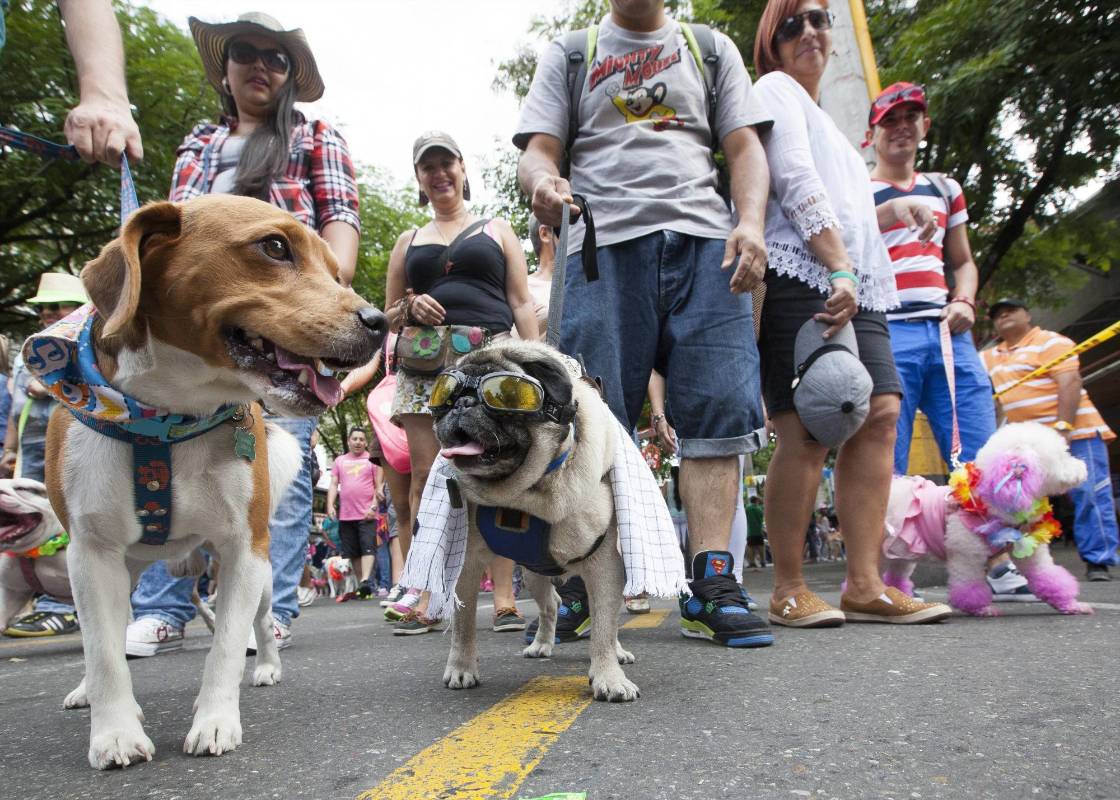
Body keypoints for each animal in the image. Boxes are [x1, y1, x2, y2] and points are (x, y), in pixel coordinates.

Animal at [27, 192, 385, 766]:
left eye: (336, 271)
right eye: (275, 247)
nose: (379, 321)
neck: (168, 420)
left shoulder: (245, 550)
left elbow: (224, 650)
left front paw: (216, 721)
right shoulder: (91, 554)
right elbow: (103, 653)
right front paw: (114, 730)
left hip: (259, 575)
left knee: (259, 624)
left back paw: (266, 665)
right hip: (125, 569)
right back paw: (87, 689)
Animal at [427, 340, 640, 699]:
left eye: (506, 397)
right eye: (447, 395)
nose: (463, 403)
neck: (525, 494)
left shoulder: (604, 565)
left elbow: (603, 626)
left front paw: (608, 676)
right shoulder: (467, 567)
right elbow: (463, 623)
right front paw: (461, 668)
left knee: (606, 623)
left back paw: (619, 651)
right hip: (533, 574)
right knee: (551, 604)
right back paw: (542, 644)